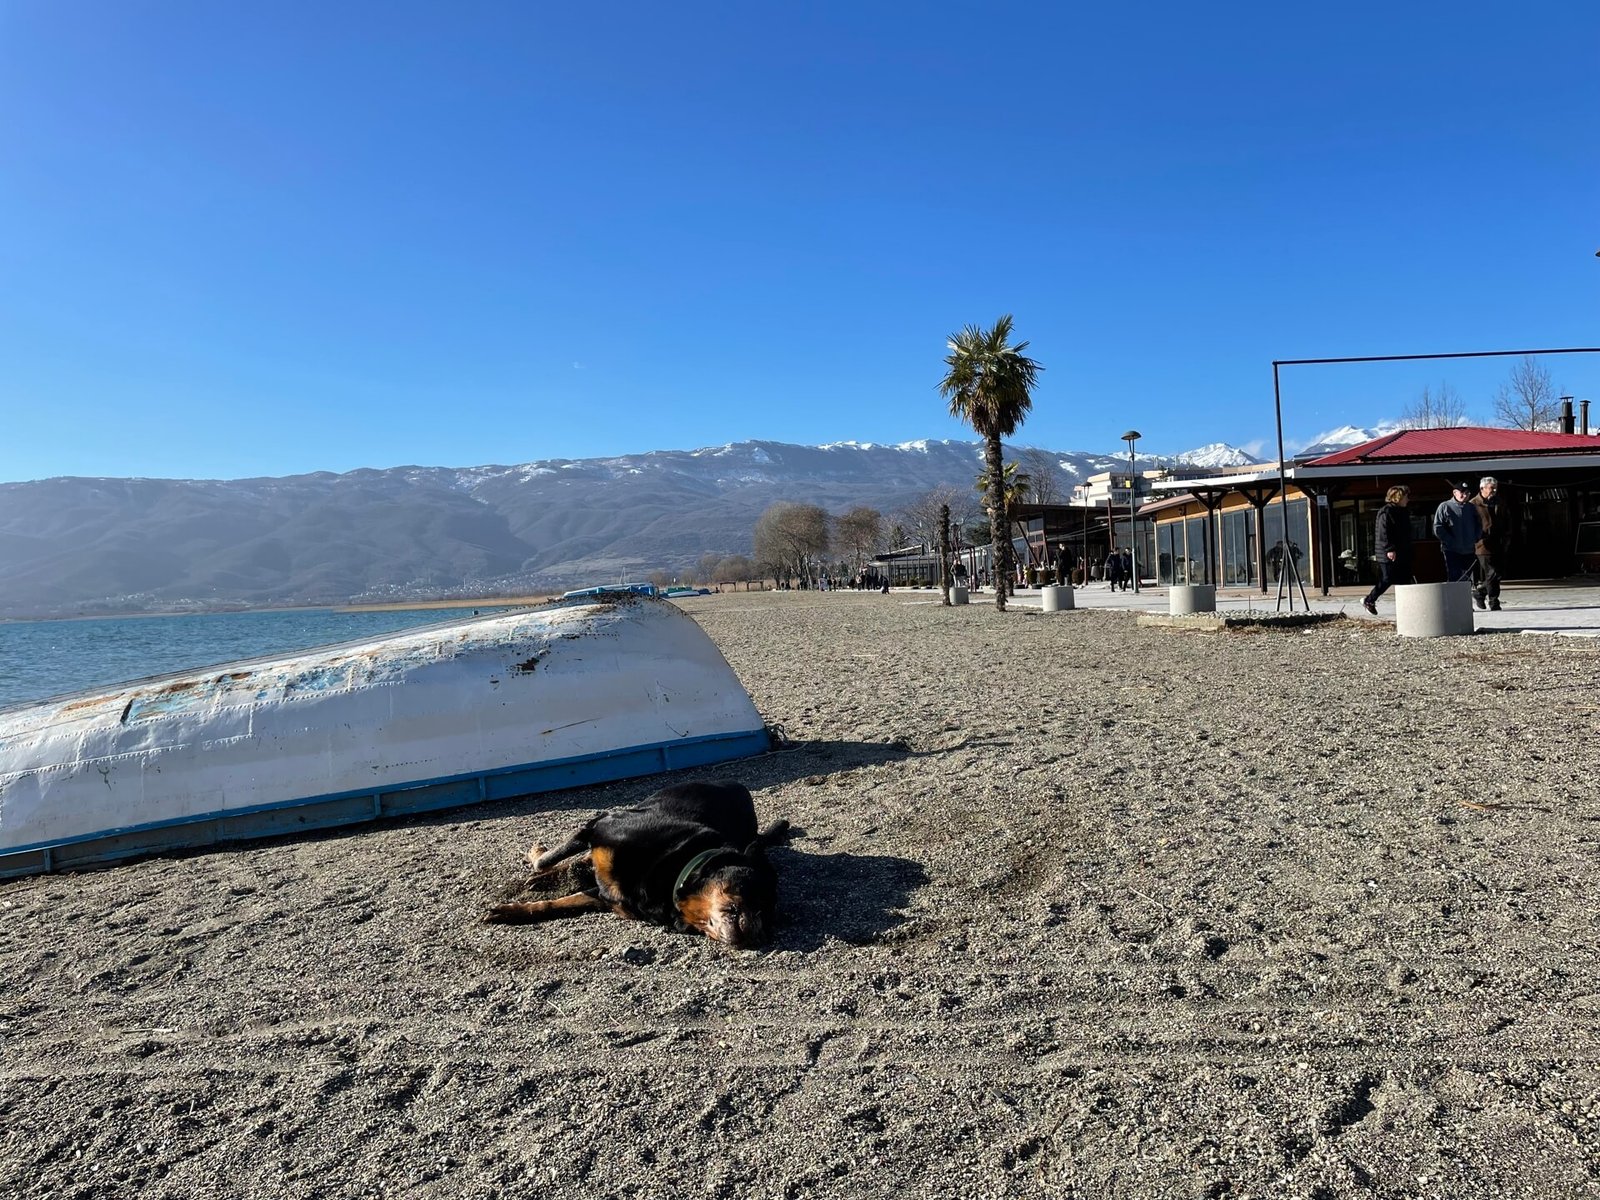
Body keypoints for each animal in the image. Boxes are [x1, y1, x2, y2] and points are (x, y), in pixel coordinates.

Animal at [483, 784, 790, 953]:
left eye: (769, 916)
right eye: (755, 893)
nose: (758, 935)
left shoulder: (606, 897)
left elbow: (563, 903)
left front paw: (515, 911)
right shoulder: (597, 826)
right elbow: (549, 859)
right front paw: (537, 867)